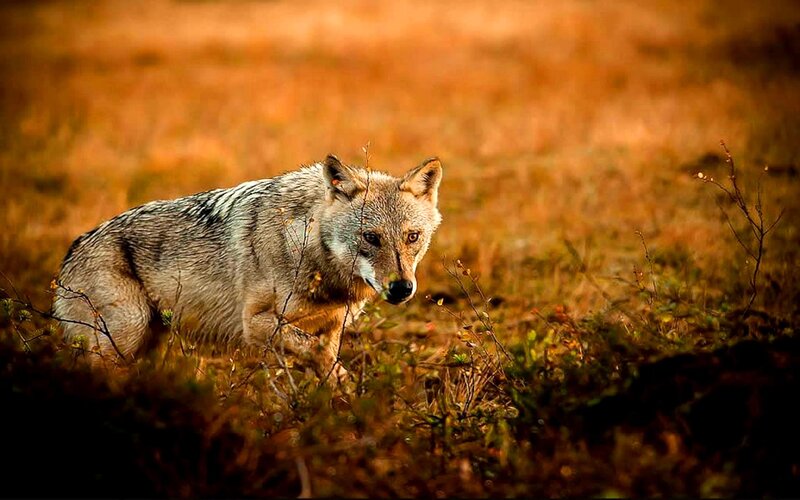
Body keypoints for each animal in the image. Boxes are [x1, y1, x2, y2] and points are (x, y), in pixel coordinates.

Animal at [53, 155, 443, 383]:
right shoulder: (254, 324)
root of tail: (72, 248)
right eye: (371, 237)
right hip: (125, 334)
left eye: (412, 236)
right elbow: (318, 356)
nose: (401, 288)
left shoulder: (332, 328)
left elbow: (325, 363)